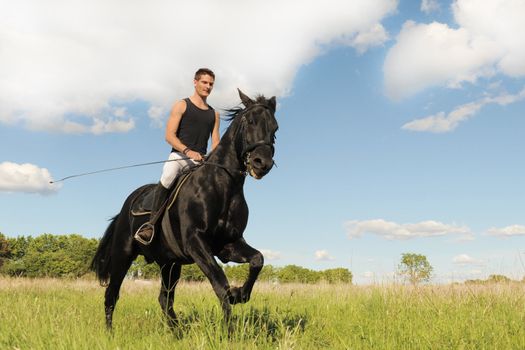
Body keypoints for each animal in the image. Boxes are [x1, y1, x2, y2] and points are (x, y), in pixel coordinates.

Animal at [90, 89, 278, 330]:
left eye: (275, 129)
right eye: (251, 121)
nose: (262, 163)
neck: (222, 186)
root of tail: (127, 205)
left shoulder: (228, 245)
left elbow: (257, 260)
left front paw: (240, 294)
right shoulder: (196, 243)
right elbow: (220, 283)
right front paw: (229, 329)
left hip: (169, 264)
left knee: (165, 299)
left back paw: (177, 332)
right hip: (123, 255)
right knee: (112, 295)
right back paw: (110, 333)